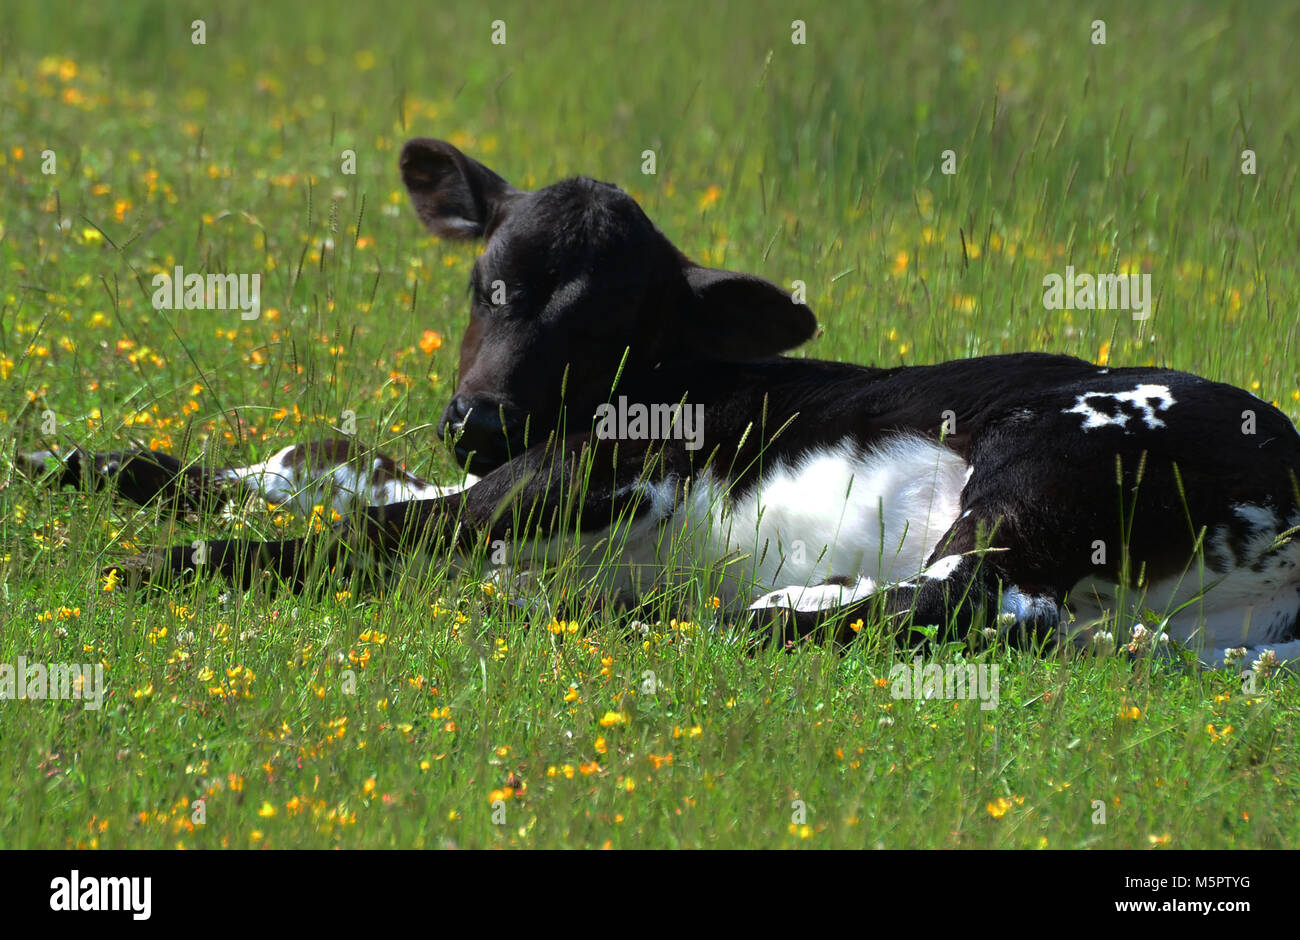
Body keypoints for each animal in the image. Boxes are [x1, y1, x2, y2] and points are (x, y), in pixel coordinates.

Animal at [24, 137, 1300, 669]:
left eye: (604, 323)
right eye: (488, 283)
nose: (475, 417)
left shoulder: (582, 474)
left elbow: (373, 520)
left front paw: (164, 561)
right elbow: (323, 463)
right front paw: (78, 465)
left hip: (1051, 452)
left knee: (972, 601)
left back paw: (659, 617)